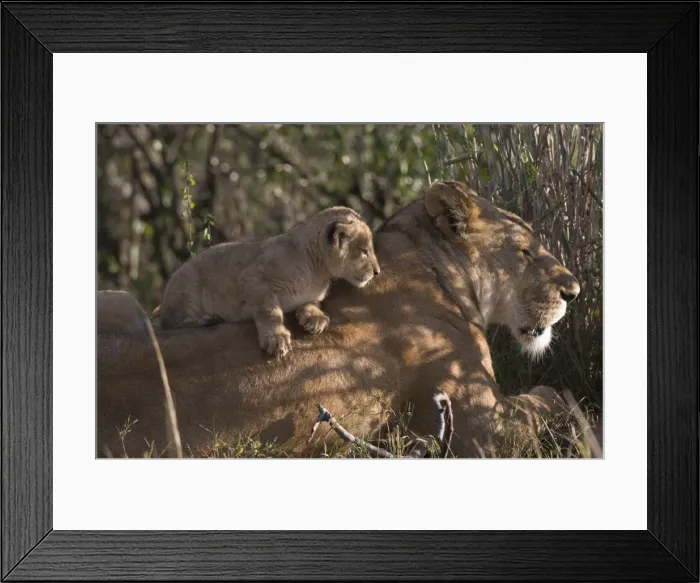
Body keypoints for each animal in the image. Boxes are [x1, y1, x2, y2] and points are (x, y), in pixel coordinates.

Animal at [156, 206, 380, 358]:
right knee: (172, 324)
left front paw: (314, 318)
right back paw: (208, 319)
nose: (377, 272)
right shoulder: (252, 277)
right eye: (363, 251)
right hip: (185, 287)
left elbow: (311, 303)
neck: (318, 270)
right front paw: (276, 338)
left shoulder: (311, 294)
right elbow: (269, 311)